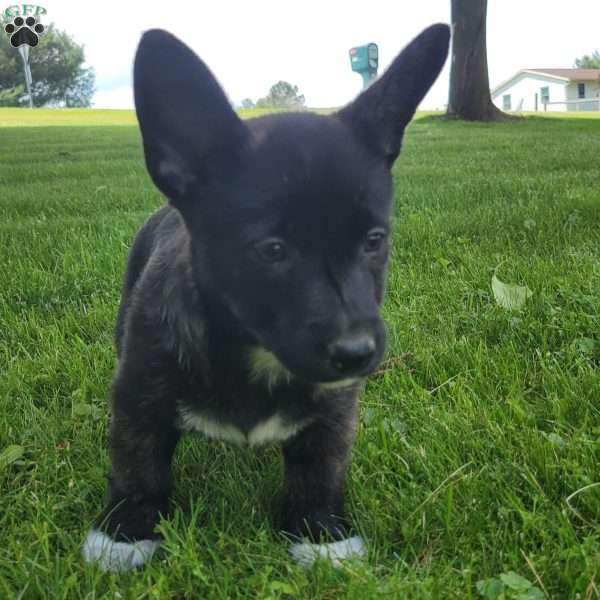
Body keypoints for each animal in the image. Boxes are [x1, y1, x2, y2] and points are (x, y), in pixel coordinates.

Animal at [84, 23, 450, 572]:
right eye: (272, 250)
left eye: (374, 240)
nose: (356, 353)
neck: (252, 351)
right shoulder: (137, 399)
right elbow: (138, 467)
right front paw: (126, 532)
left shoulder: (333, 412)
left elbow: (319, 472)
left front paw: (320, 533)